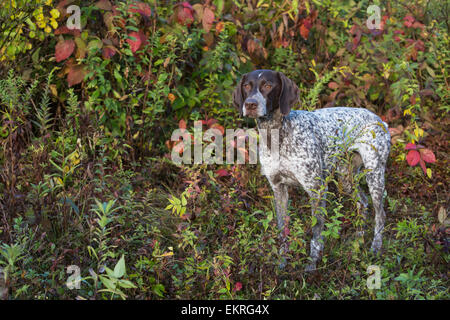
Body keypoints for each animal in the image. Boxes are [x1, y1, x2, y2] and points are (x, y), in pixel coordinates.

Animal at [232, 69, 390, 270]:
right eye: (246, 86)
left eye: (268, 85)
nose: (250, 104)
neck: (277, 134)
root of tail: (380, 120)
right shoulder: (278, 189)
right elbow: (282, 228)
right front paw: (282, 261)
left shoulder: (317, 189)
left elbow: (316, 231)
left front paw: (312, 263)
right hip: (346, 178)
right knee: (362, 202)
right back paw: (358, 240)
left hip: (374, 175)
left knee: (380, 215)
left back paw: (375, 248)